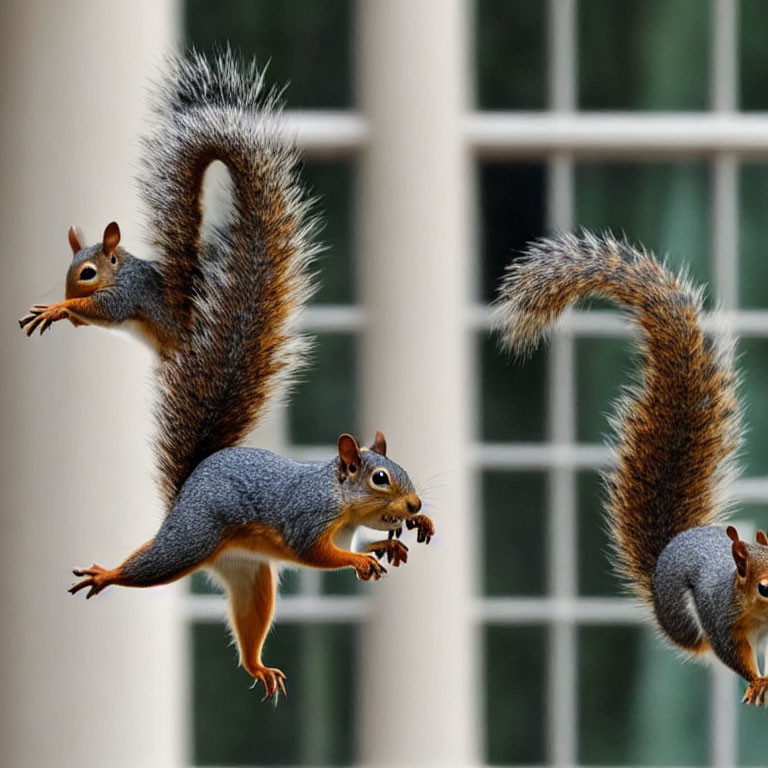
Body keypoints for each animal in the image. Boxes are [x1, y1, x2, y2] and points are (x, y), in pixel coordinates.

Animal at [18, 51, 436, 700]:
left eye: (404, 474)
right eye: (380, 478)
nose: (415, 505)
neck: (339, 501)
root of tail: (189, 484)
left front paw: (402, 539)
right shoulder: (305, 521)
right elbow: (320, 554)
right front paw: (361, 559)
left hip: (250, 576)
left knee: (249, 621)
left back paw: (258, 666)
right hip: (190, 538)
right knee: (149, 566)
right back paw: (110, 573)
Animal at [492, 232, 768, 708]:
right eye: (765, 586)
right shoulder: (724, 617)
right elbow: (736, 652)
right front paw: (755, 680)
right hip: (689, 618)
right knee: (703, 646)